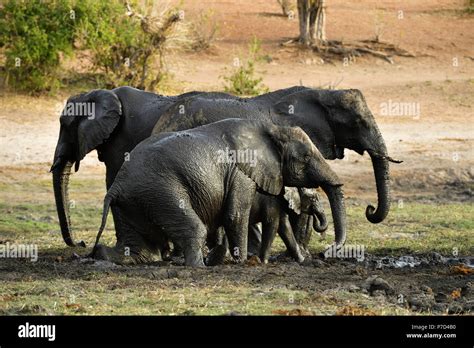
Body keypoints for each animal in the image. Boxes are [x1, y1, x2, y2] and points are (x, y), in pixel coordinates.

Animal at [90, 118, 346, 268]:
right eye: (306, 157)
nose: (326, 251)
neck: (271, 129)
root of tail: (117, 186)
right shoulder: (242, 172)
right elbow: (235, 215)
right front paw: (242, 262)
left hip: (133, 200)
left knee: (136, 247)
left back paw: (107, 256)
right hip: (160, 190)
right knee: (194, 228)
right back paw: (198, 267)